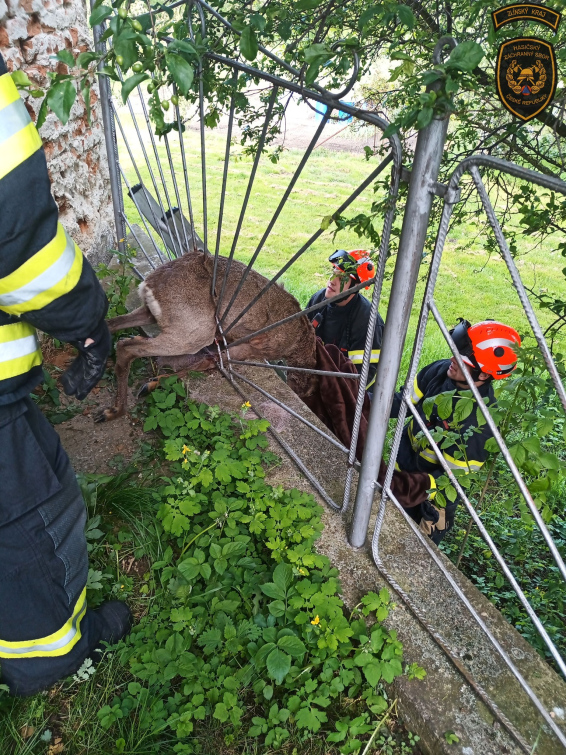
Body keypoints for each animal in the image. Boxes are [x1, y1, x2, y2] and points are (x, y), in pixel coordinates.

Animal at [97, 250, 320, 422]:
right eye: (308, 392)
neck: (300, 340)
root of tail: (148, 283)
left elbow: (205, 360)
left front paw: (151, 383)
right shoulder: (249, 347)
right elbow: (207, 363)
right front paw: (151, 384)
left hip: (152, 313)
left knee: (111, 325)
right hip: (195, 331)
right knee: (126, 347)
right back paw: (114, 411)